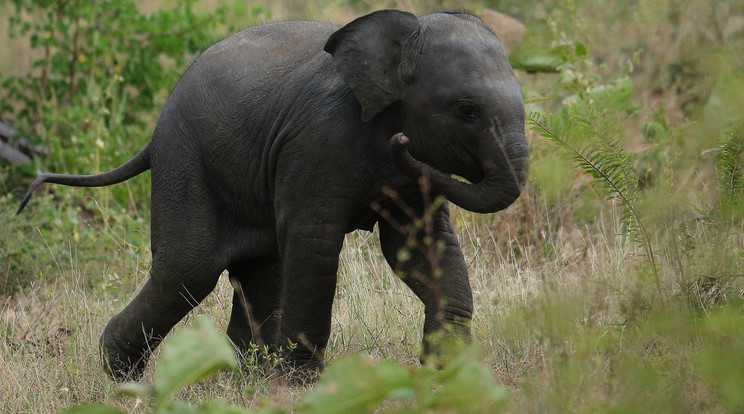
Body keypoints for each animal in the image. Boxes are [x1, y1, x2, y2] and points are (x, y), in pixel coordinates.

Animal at [17, 8, 528, 382]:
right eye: (467, 111)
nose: (402, 143)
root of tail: (154, 133)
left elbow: (419, 247)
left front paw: (450, 375)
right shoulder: (316, 142)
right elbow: (314, 245)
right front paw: (304, 385)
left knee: (260, 268)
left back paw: (246, 374)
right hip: (184, 163)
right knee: (188, 270)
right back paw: (121, 376)